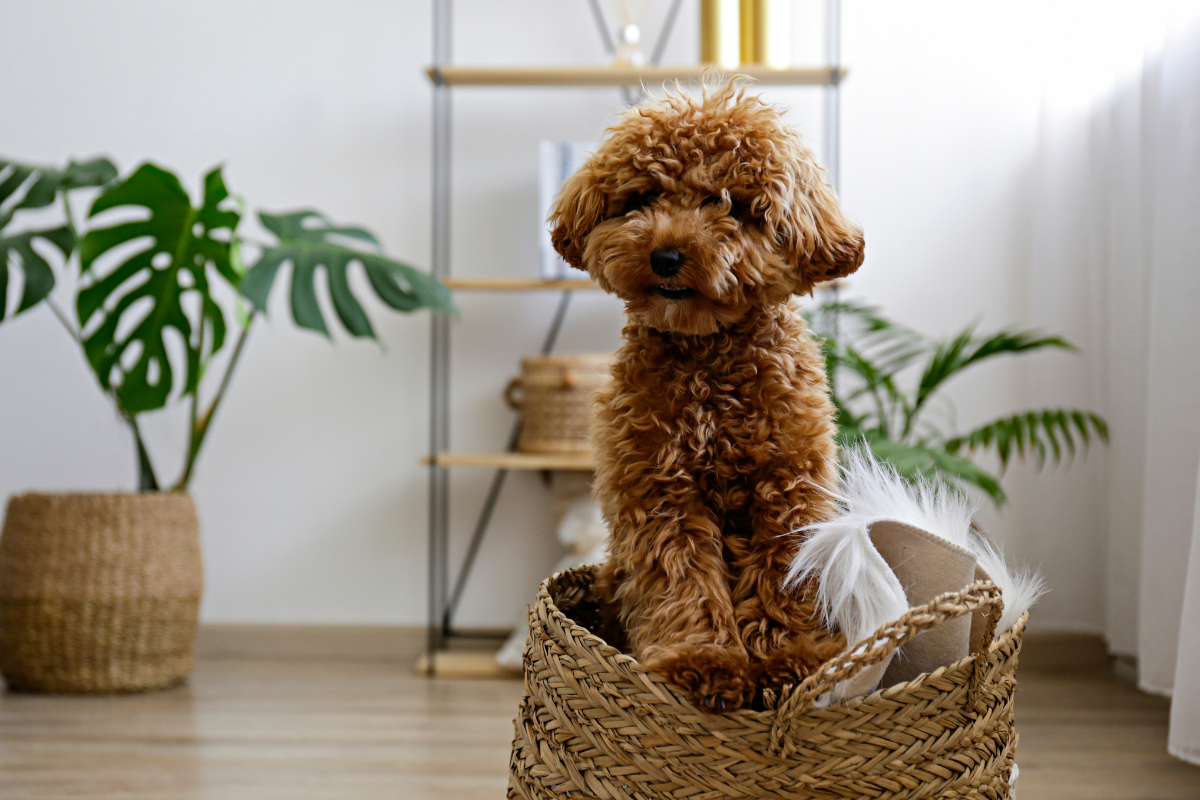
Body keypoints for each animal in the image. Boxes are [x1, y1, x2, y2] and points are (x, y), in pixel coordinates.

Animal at [549, 77, 868, 710]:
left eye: (729, 203)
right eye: (644, 197)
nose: (666, 255)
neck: (708, 359)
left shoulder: (787, 487)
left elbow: (784, 577)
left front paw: (788, 661)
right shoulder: (660, 492)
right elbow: (682, 580)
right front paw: (703, 662)